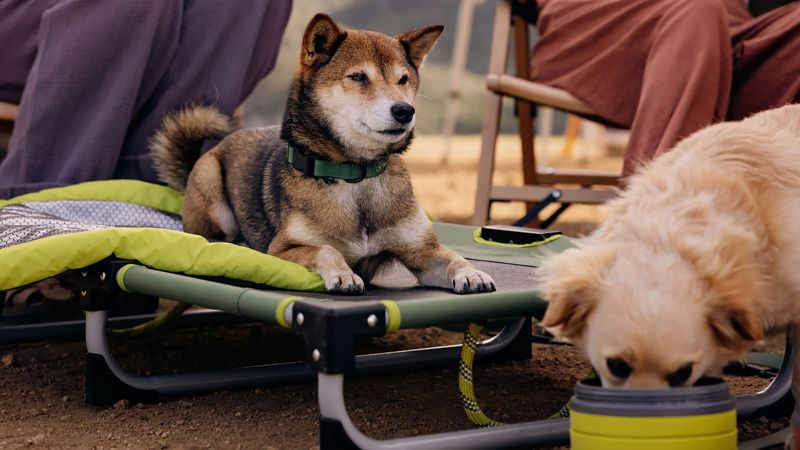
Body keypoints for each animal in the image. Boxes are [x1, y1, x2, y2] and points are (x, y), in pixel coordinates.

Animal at [150, 13, 494, 296]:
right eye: (359, 77)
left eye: (403, 80)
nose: (404, 111)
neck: (356, 175)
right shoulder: (282, 250)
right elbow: (326, 250)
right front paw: (344, 274)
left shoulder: (420, 250)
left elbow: (452, 257)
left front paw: (472, 272)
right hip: (210, 179)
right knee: (209, 238)